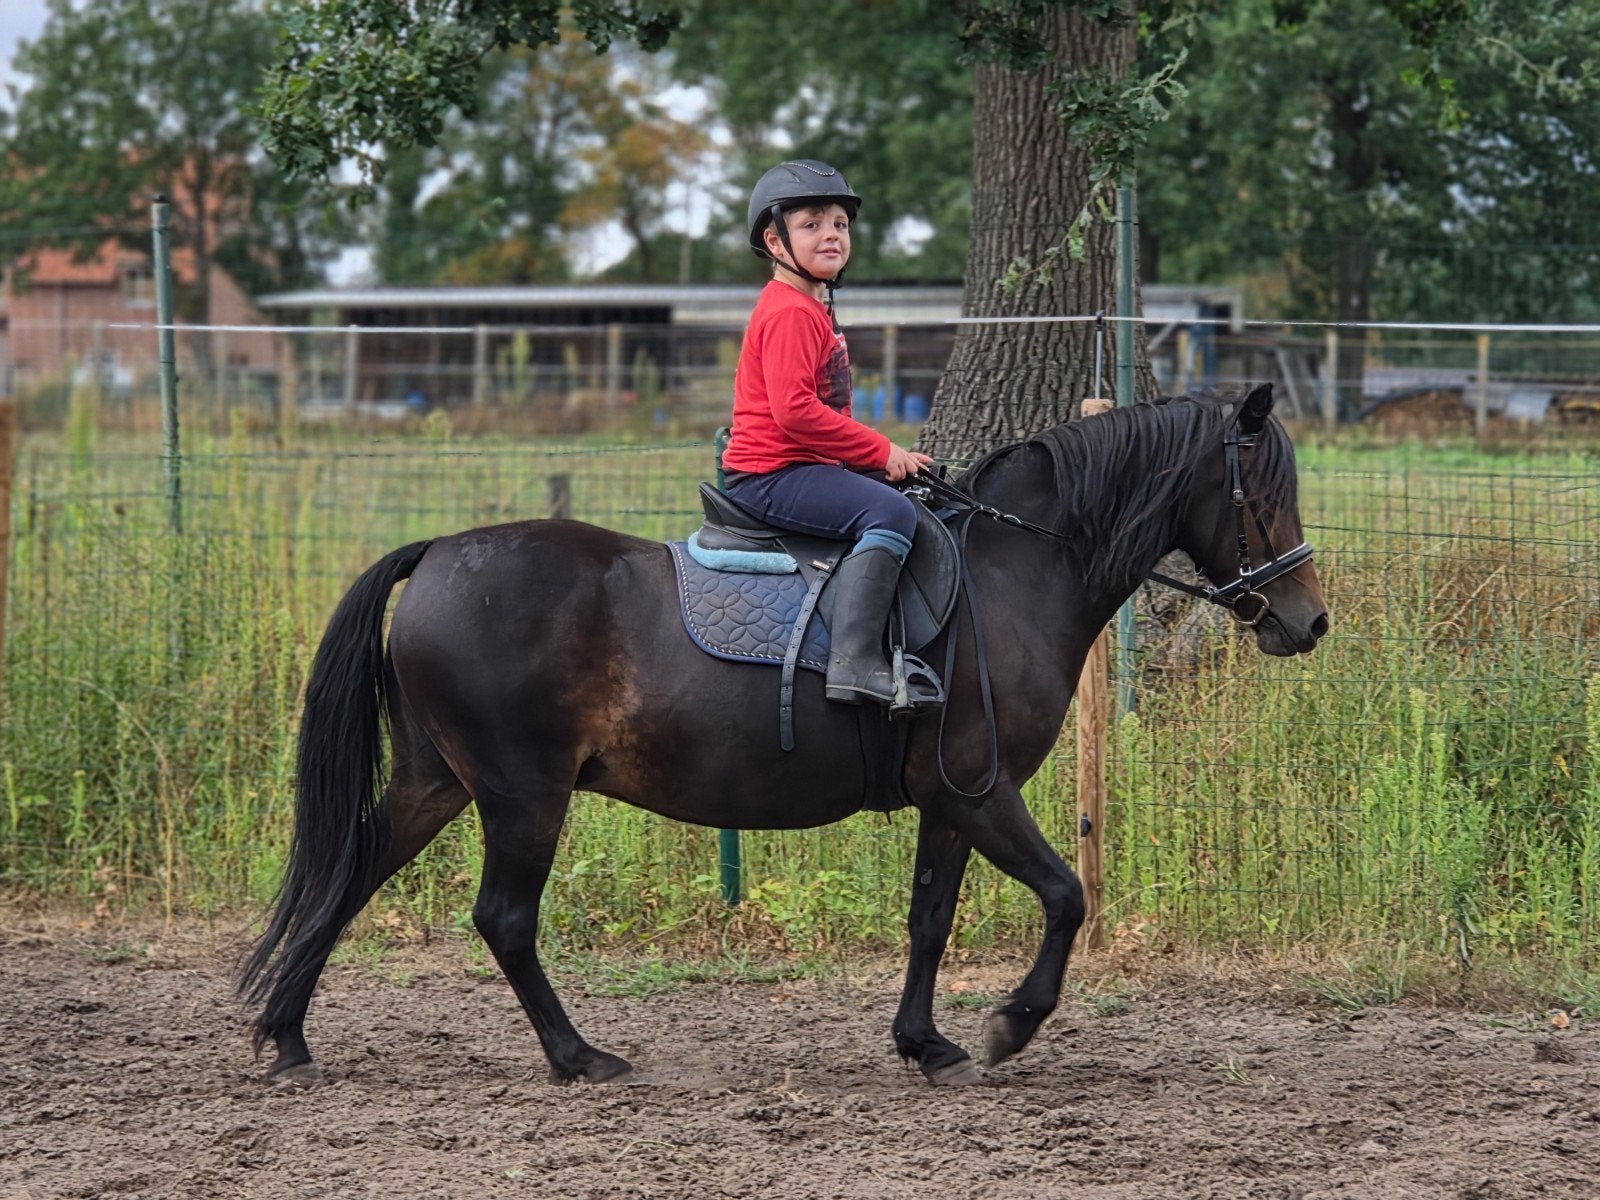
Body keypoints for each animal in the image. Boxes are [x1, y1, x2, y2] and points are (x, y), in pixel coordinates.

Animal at [239, 382, 1328, 1088]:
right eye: (1265, 495)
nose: (1308, 622)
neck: (1015, 574)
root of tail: (437, 554)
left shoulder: (948, 799)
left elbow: (929, 918)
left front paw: (926, 1044)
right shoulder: (980, 790)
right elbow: (1065, 896)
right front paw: (1010, 1028)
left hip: (439, 780)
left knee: (352, 869)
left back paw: (288, 1038)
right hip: (521, 795)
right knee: (503, 919)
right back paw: (578, 1057)